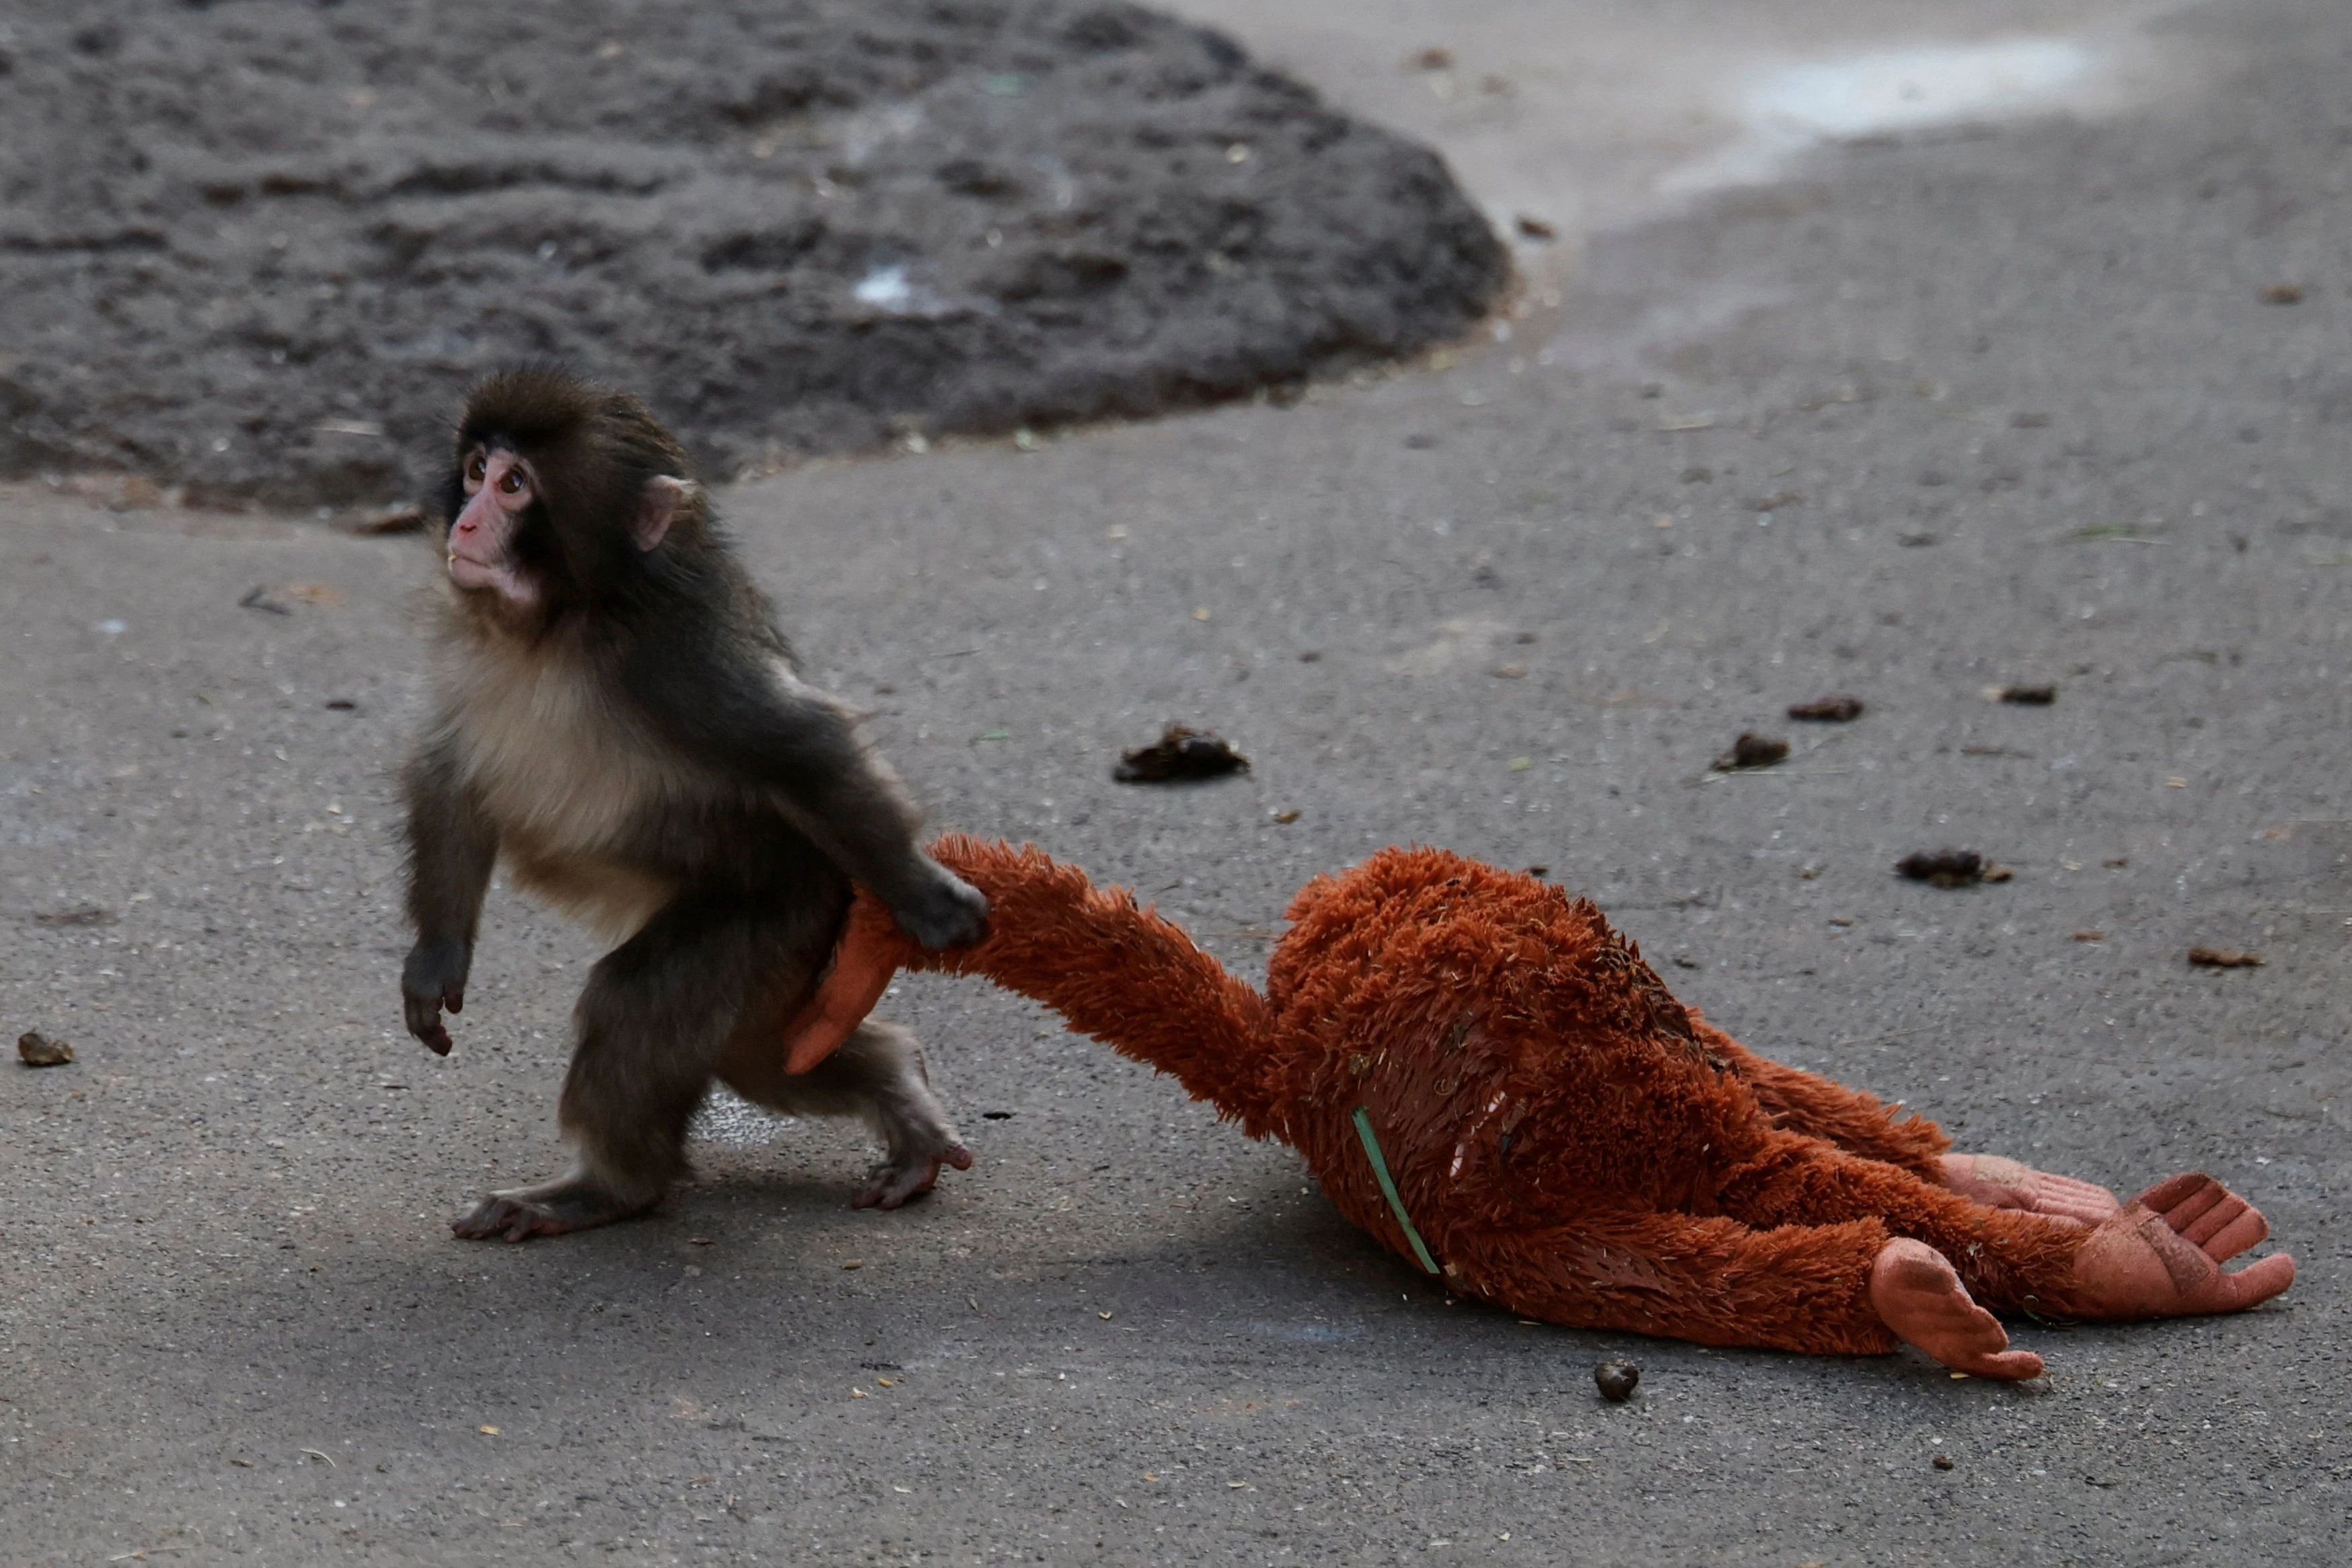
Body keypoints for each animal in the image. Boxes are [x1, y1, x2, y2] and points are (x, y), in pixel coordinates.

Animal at [400, 367, 989, 1241]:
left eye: (514, 486)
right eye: (475, 470)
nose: (467, 521)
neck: (562, 622)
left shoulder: (679, 662)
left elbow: (801, 743)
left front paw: (927, 896)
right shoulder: (466, 644)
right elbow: (449, 773)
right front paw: (437, 958)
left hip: (780, 910)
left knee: (642, 1003)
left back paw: (609, 1189)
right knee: (764, 1054)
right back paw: (900, 1088)